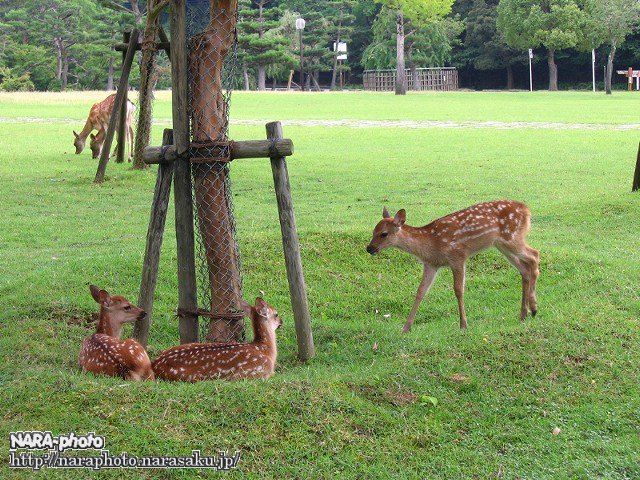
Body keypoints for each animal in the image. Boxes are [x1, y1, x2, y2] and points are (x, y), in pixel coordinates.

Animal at [364, 201, 540, 332]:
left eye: (384, 234)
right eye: (373, 231)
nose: (369, 248)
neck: (430, 244)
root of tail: (527, 209)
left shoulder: (457, 256)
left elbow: (458, 290)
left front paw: (463, 325)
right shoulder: (431, 264)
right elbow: (420, 292)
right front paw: (406, 328)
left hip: (512, 238)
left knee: (534, 255)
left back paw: (533, 308)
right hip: (502, 245)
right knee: (525, 269)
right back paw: (523, 314)